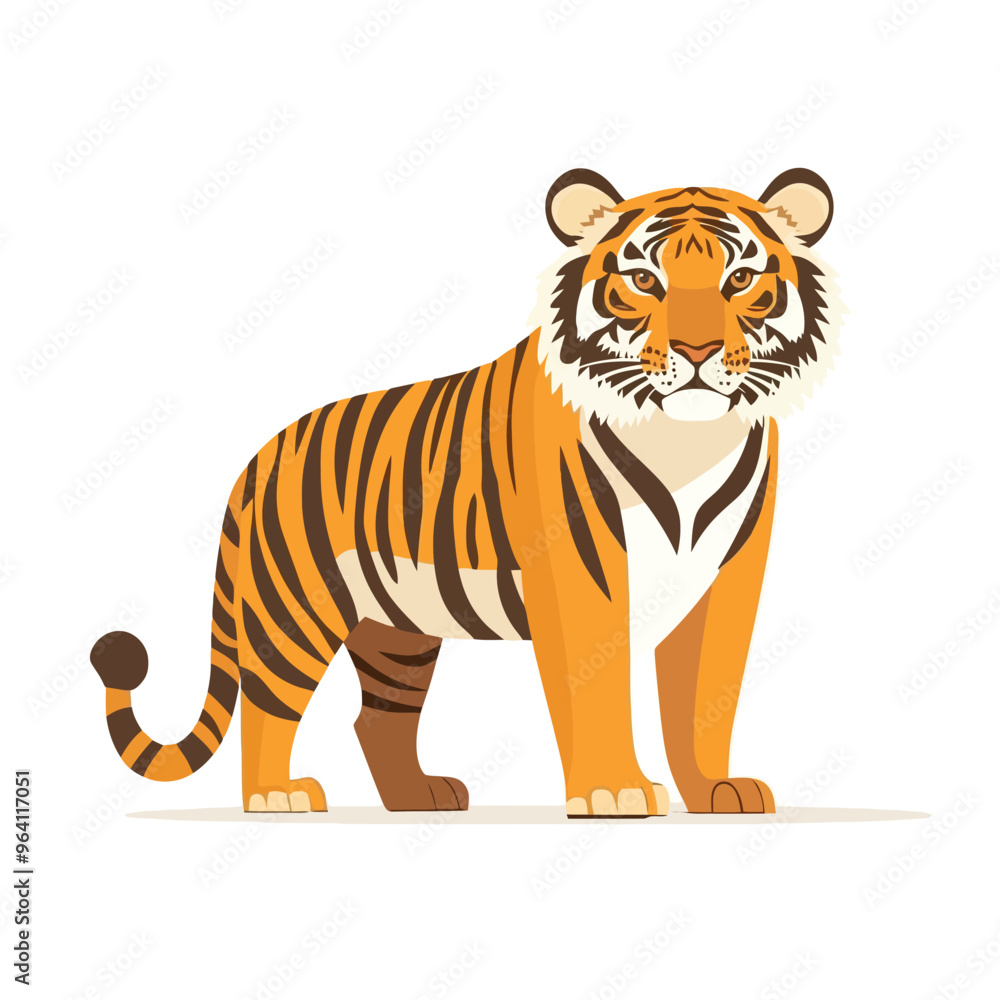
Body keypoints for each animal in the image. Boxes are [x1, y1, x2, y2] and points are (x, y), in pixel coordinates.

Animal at [89, 167, 842, 818]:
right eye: (642, 280)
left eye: (740, 279)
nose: (696, 351)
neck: (689, 440)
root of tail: (258, 456)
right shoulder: (584, 572)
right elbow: (598, 688)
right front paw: (613, 791)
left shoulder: (726, 578)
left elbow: (703, 699)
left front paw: (716, 789)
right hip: (294, 606)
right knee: (268, 702)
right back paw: (278, 795)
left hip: (397, 632)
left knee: (376, 718)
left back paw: (418, 797)